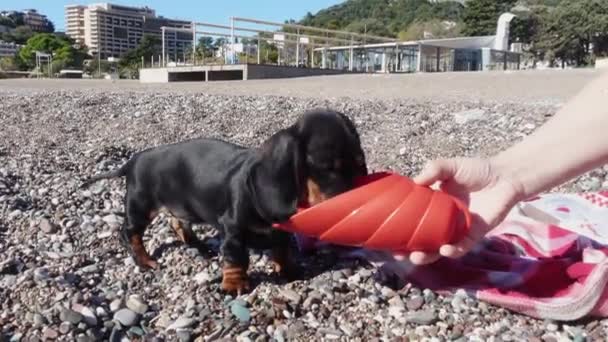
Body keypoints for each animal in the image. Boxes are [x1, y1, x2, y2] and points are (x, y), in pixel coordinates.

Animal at [79, 109, 366, 294]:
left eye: (360, 164)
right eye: (328, 167)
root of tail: (133, 161)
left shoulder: (281, 233)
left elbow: (282, 250)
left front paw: (289, 269)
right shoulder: (233, 229)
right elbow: (236, 258)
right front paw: (234, 285)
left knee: (177, 222)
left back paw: (198, 246)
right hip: (141, 205)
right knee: (129, 233)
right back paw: (144, 260)